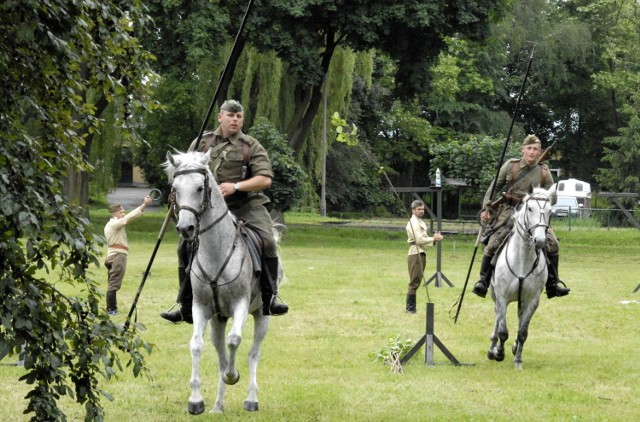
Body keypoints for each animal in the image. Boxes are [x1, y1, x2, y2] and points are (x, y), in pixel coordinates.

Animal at [164, 150, 272, 414]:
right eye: (175, 188)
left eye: (200, 187)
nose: (185, 227)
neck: (216, 251)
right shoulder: (201, 308)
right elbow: (196, 345)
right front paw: (196, 400)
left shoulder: (241, 304)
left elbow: (235, 340)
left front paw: (233, 376)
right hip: (218, 320)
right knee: (222, 357)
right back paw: (218, 405)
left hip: (262, 315)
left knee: (253, 354)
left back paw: (251, 399)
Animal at [488, 187, 552, 370]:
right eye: (529, 208)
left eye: (550, 211)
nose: (540, 240)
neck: (523, 260)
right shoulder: (502, 297)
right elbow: (503, 331)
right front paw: (498, 353)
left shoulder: (532, 300)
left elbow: (523, 332)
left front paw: (518, 360)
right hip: (495, 296)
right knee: (497, 317)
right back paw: (492, 348)